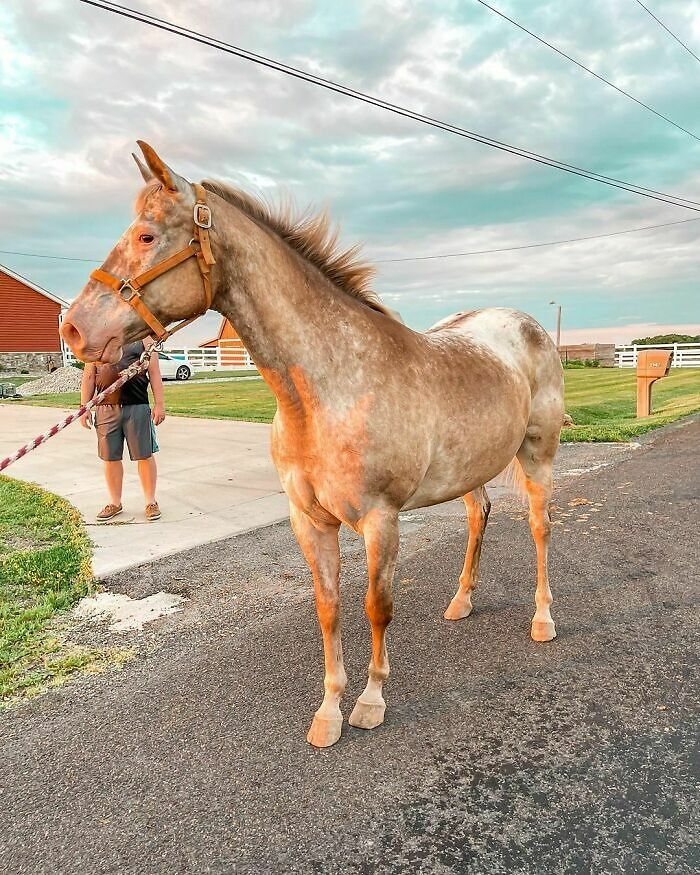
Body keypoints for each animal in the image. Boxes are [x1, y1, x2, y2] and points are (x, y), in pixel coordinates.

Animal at [62, 142, 566, 748]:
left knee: (539, 528)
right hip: (470, 470)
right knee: (479, 514)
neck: (331, 386)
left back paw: (543, 618)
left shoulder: (380, 519)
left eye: (145, 235)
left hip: (537, 456)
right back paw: (462, 600)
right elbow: (328, 609)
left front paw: (370, 702)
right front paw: (328, 713)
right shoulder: (309, 519)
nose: (72, 329)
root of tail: (527, 326)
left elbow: (376, 608)